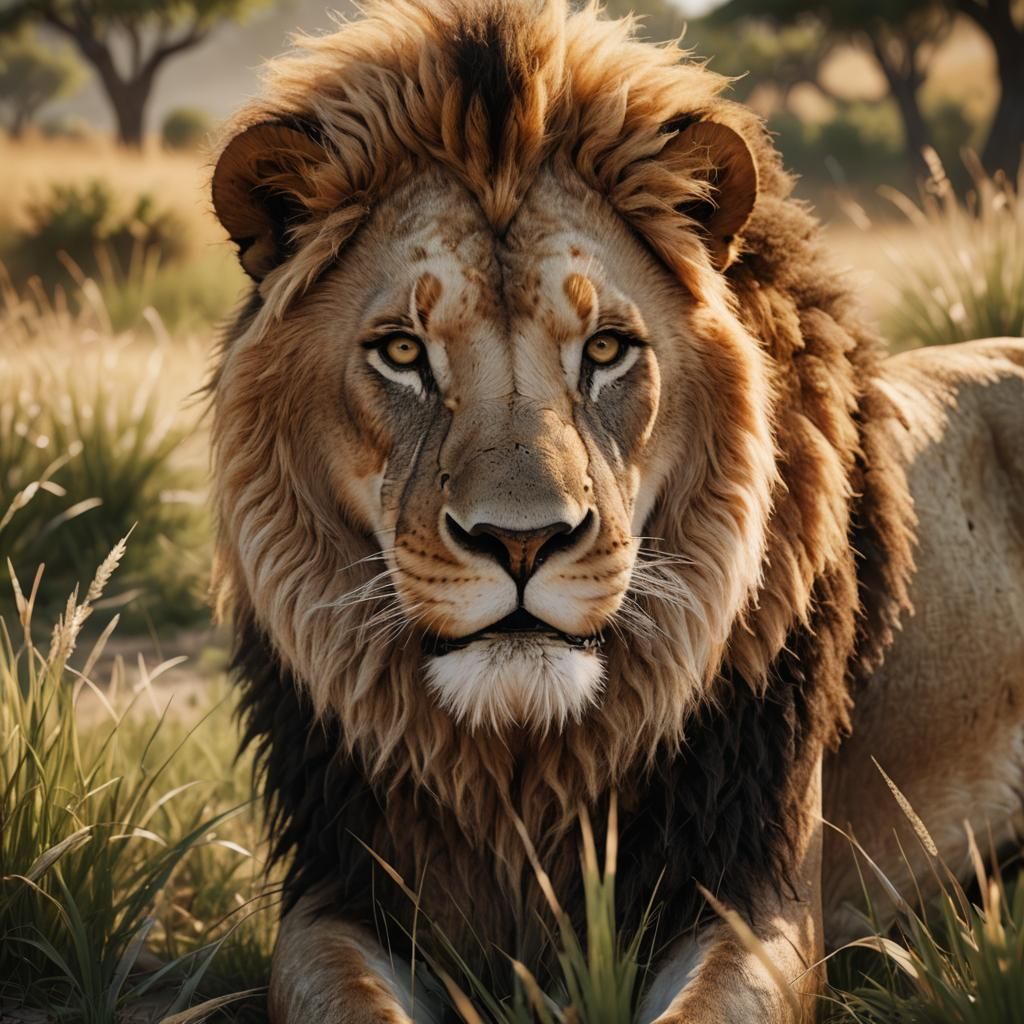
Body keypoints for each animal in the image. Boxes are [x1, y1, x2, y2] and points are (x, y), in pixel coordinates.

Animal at [207, 1, 1024, 1020]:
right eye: (401, 351)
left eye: (605, 350)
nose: (522, 541)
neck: (519, 768)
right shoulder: (336, 891)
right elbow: (352, 999)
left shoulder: (756, 891)